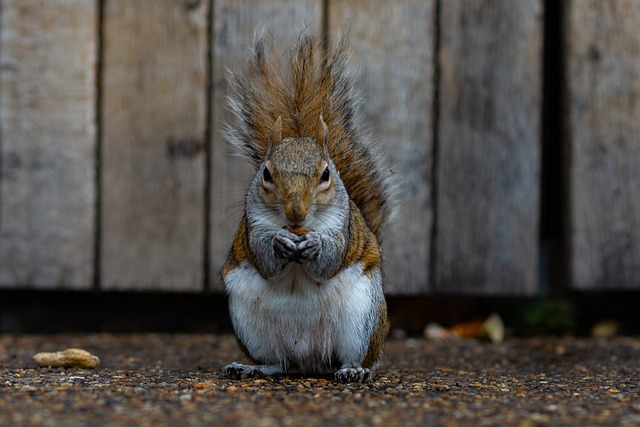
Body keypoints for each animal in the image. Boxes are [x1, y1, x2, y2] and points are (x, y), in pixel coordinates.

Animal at [221, 30, 396, 384]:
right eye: (266, 173)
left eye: (326, 174)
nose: (296, 212)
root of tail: (310, 359)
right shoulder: (252, 226)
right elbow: (265, 259)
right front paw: (278, 242)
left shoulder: (343, 229)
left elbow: (329, 260)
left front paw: (315, 244)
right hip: (249, 324)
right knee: (279, 363)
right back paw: (250, 367)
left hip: (361, 318)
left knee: (351, 357)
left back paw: (353, 370)